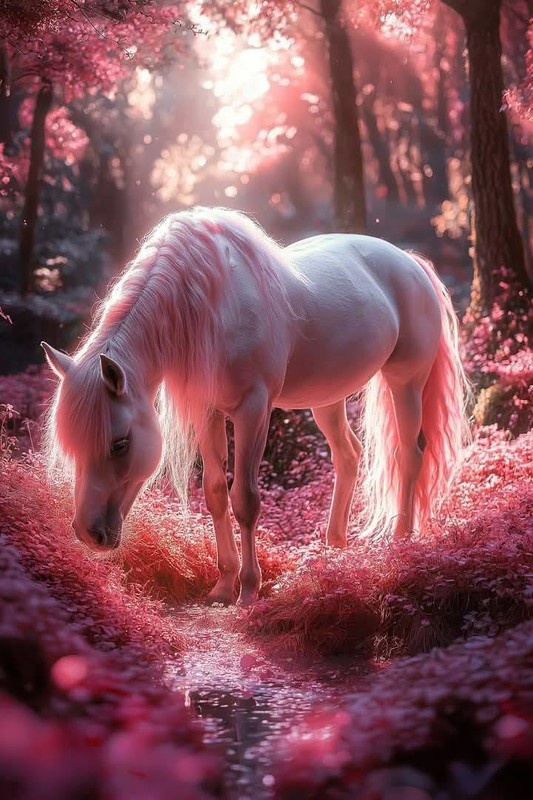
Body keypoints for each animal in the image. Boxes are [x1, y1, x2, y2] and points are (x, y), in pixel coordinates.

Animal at [42, 206, 470, 605]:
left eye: (119, 443)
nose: (89, 533)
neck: (210, 304)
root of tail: (409, 261)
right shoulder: (208, 411)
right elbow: (216, 492)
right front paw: (223, 586)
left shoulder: (253, 410)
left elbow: (245, 500)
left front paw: (248, 589)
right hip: (327, 400)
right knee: (349, 455)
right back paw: (334, 551)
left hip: (406, 384)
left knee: (410, 454)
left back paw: (400, 543)